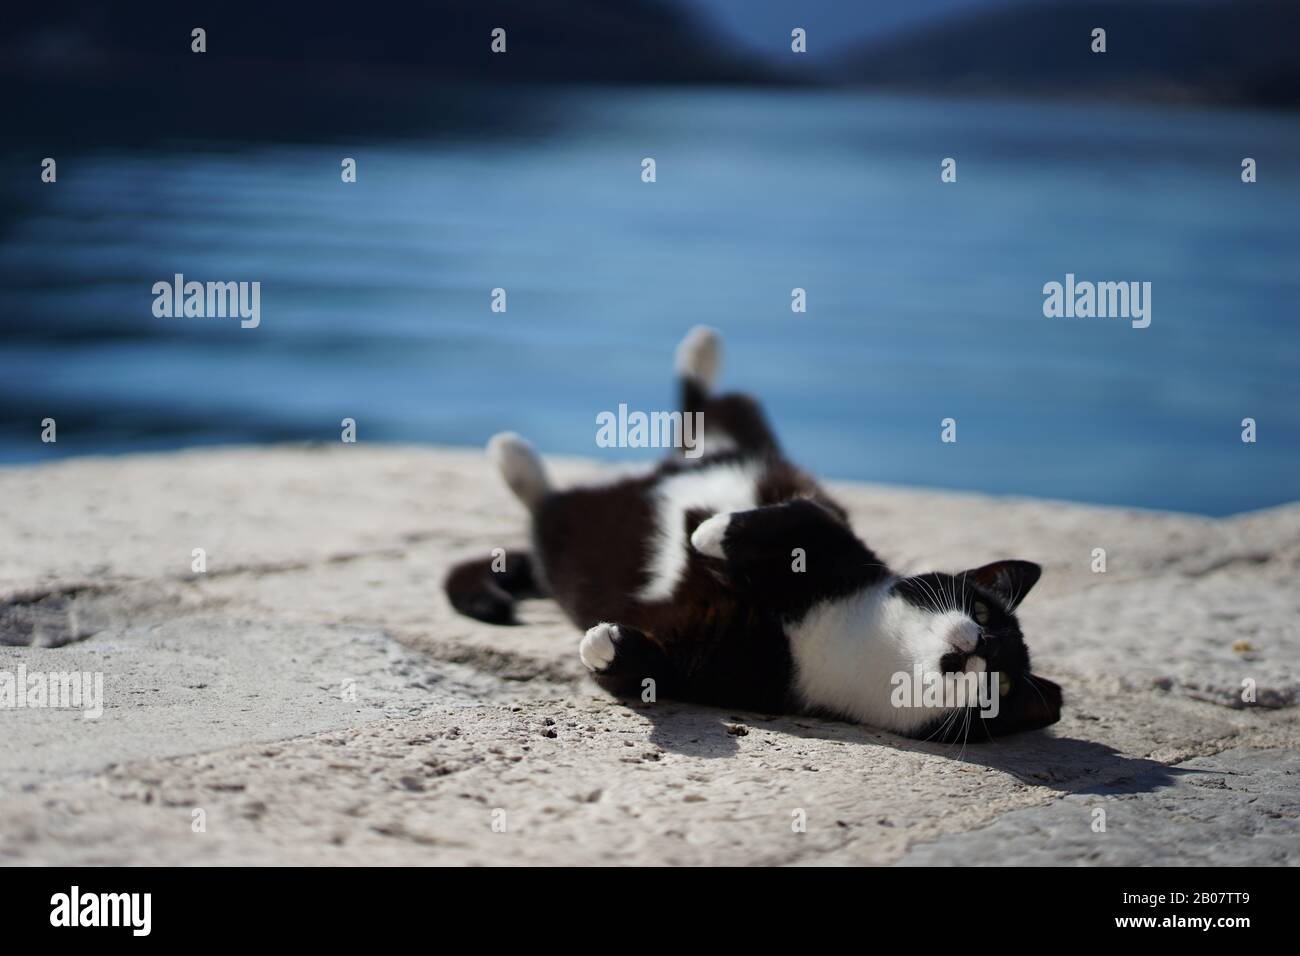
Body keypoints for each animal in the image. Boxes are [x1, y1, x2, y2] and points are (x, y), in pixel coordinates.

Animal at [441, 327, 1060, 738]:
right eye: (982, 610)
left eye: (1002, 688)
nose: (981, 646)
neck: (851, 642)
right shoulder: (844, 545)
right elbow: (805, 518)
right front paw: (711, 534)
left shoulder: (728, 672)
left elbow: (651, 673)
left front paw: (606, 644)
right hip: (739, 435)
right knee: (708, 412)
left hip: (572, 534)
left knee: (551, 510)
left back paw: (522, 468)